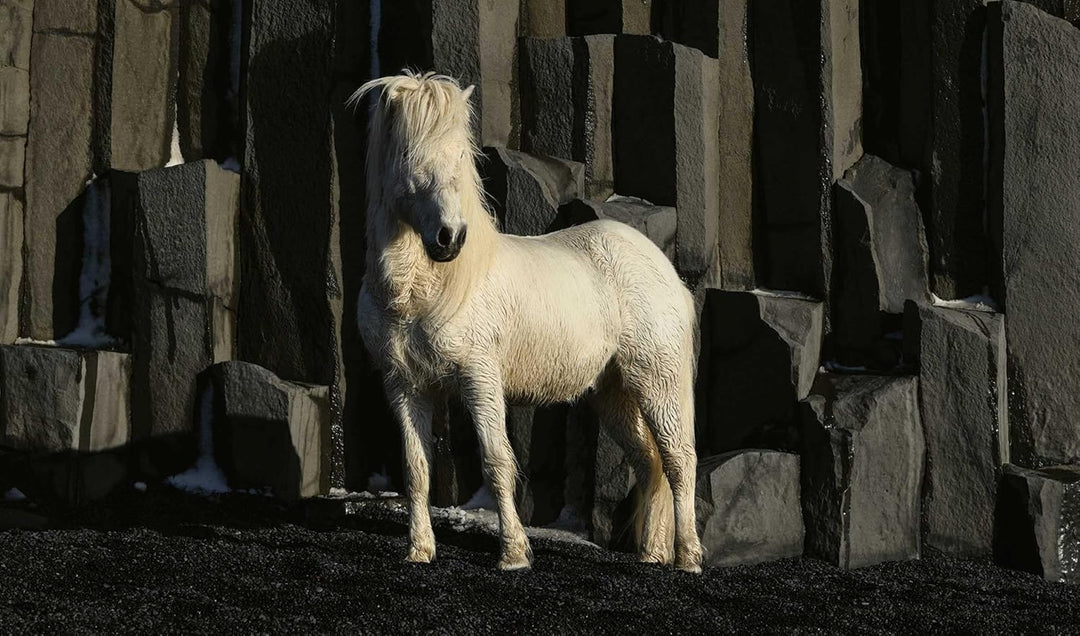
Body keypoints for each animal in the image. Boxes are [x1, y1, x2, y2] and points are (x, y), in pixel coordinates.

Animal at [351, 71, 703, 573]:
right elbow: (416, 471)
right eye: (409, 156)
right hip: (613, 392)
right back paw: (652, 556)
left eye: (460, 155)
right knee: (648, 462)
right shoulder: (405, 386)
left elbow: (498, 462)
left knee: (678, 461)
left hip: (659, 381)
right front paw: (420, 551)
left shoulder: (480, 378)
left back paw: (688, 558)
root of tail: (664, 270)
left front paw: (514, 554)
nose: (450, 237)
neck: (427, 292)